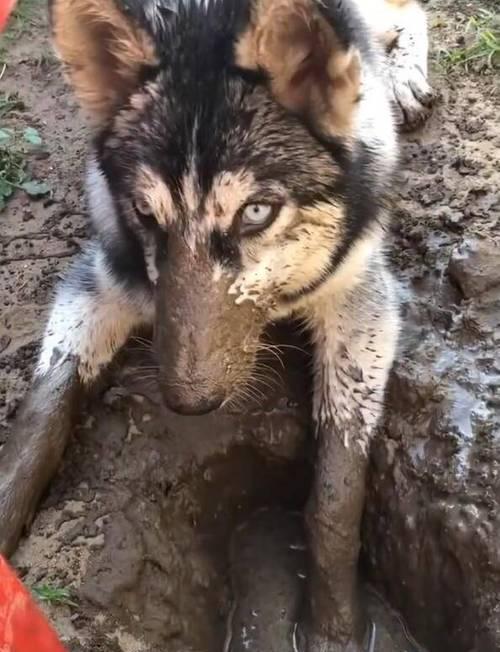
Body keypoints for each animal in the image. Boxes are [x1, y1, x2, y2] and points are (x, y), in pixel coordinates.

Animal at [1, 1, 434, 648]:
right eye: (144, 212)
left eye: (256, 213)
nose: (188, 403)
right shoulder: (98, 285)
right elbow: (40, 420)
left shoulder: (362, 302)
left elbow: (337, 492)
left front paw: (335, 628)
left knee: (407, 13)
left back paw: (403, 76)